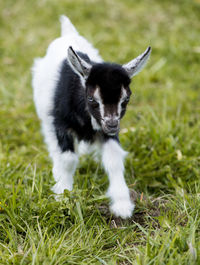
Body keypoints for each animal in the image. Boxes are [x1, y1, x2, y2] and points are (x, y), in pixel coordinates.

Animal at [32, 16, 151, 219]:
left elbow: (113, 159)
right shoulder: (61, 125)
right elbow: (68, 159)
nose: (112, 125)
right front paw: (62, 195)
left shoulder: (107, 132)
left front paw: (122, 205)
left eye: (126, 99)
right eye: (91, 99)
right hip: (46, 115)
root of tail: (68, 33)